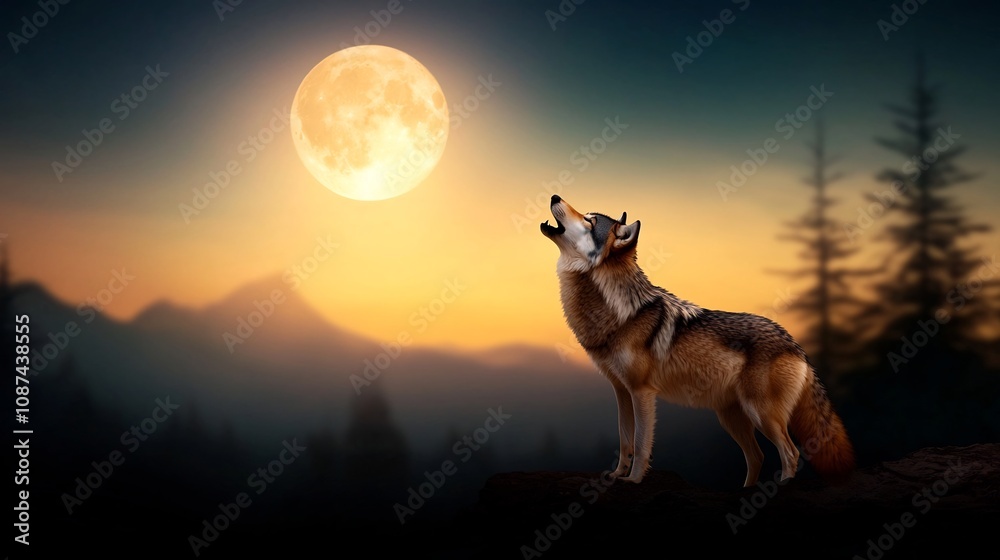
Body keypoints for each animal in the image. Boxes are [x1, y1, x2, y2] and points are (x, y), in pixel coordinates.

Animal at [540, 195, 855, 486]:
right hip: (732, 418)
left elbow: (640, 444)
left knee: (790, 454)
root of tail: (795, 344)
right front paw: (618, 475)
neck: (616, 309)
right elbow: (624, 440)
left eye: (590, 220)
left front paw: (634, 480)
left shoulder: (642, 392)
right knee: (758, 456)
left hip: (762, 415)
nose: (554, 196)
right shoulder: (621, 391)